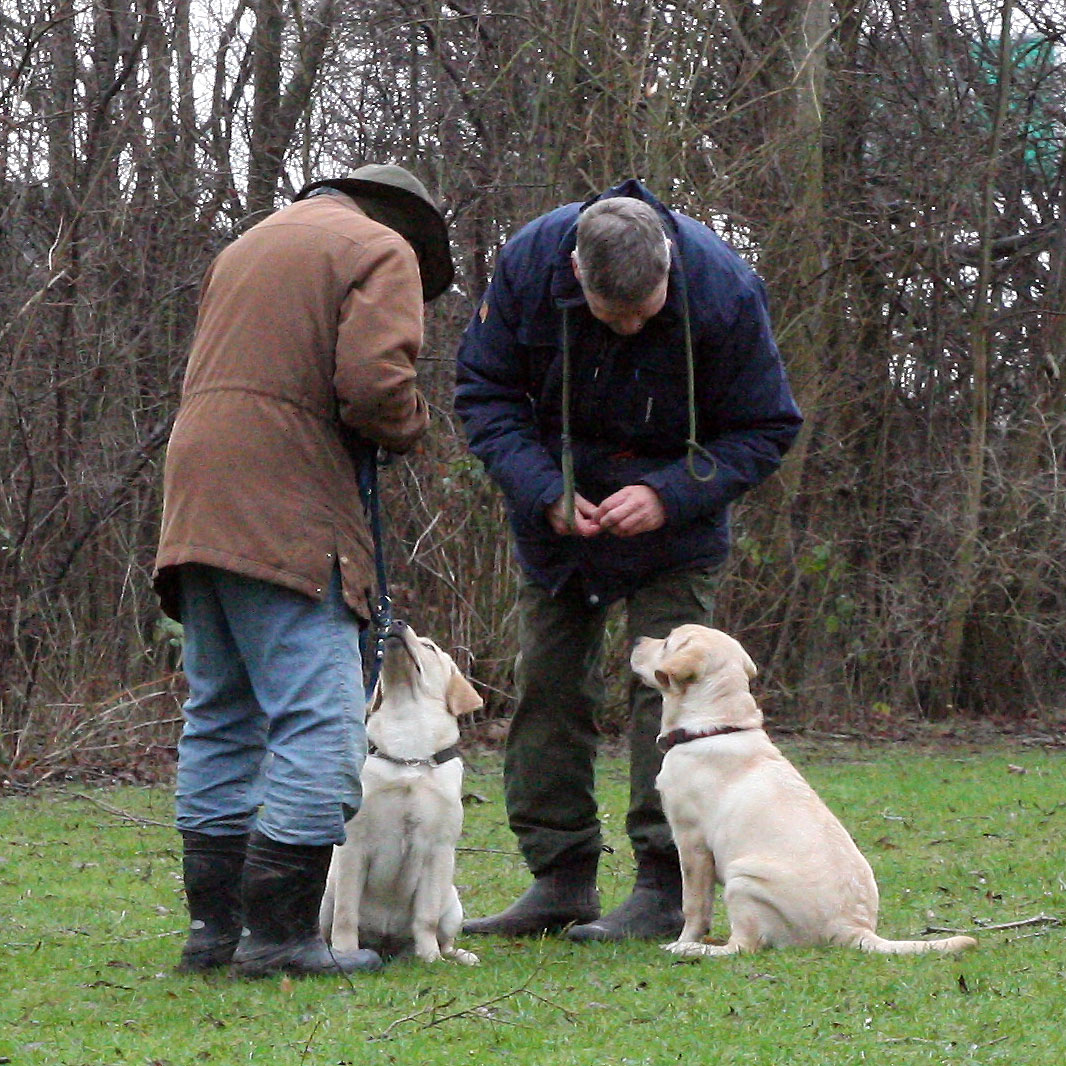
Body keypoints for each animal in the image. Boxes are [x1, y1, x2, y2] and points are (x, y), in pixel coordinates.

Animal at [315, 618, 483, 967]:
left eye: (429, 647)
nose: (396, 622)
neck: (410, 754)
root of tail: (386, 944)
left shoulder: (437, 850)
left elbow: (426, 917)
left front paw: (429, 957)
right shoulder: (354, 847)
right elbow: (346, 914)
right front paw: (346, 952)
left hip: (452, 902)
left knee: (446, 935)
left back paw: (458, 955)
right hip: (326, 897)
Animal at [626, 622, 976, 963]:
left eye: (667, 642)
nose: (637, 639)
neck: (714, 726)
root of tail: (853, 927)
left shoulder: (691, 841)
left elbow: (694, 904)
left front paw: (684, 940)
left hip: (742, 880)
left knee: (744, 946)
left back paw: (693, 950)